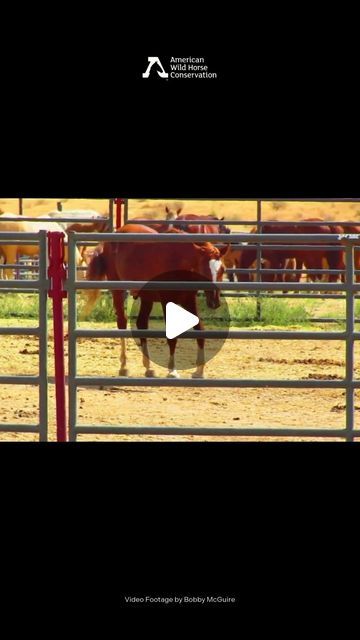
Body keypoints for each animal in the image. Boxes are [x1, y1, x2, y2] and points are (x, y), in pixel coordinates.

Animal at [83, 224, 225, 378]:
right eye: (204, 271)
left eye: (222, 270)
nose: (215, 302)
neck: (179, 260)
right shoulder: (167, 300)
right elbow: (172, 336)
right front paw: (172, 370)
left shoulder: (189, 299)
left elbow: (200, 330)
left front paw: (199, 371)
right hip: (118, 291)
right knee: (122, 322)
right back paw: (124, 366)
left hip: (147, 297)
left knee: (141, 324)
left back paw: (148, 367)